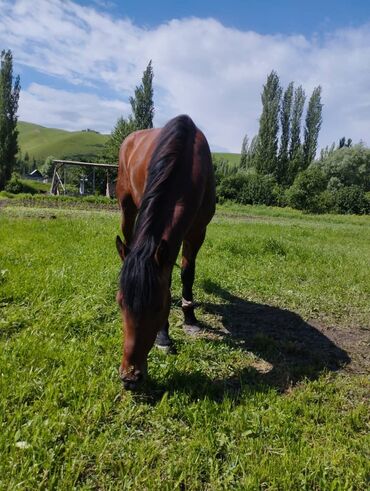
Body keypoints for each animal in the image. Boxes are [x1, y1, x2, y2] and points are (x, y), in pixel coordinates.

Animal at [115, 114, 214, 388]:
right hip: (127, 206)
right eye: (120, 302)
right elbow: (167, 276)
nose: (130, 377)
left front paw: (190, 319)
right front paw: (163, 337)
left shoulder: (197, 230)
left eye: (159, 306)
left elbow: (187, 273)